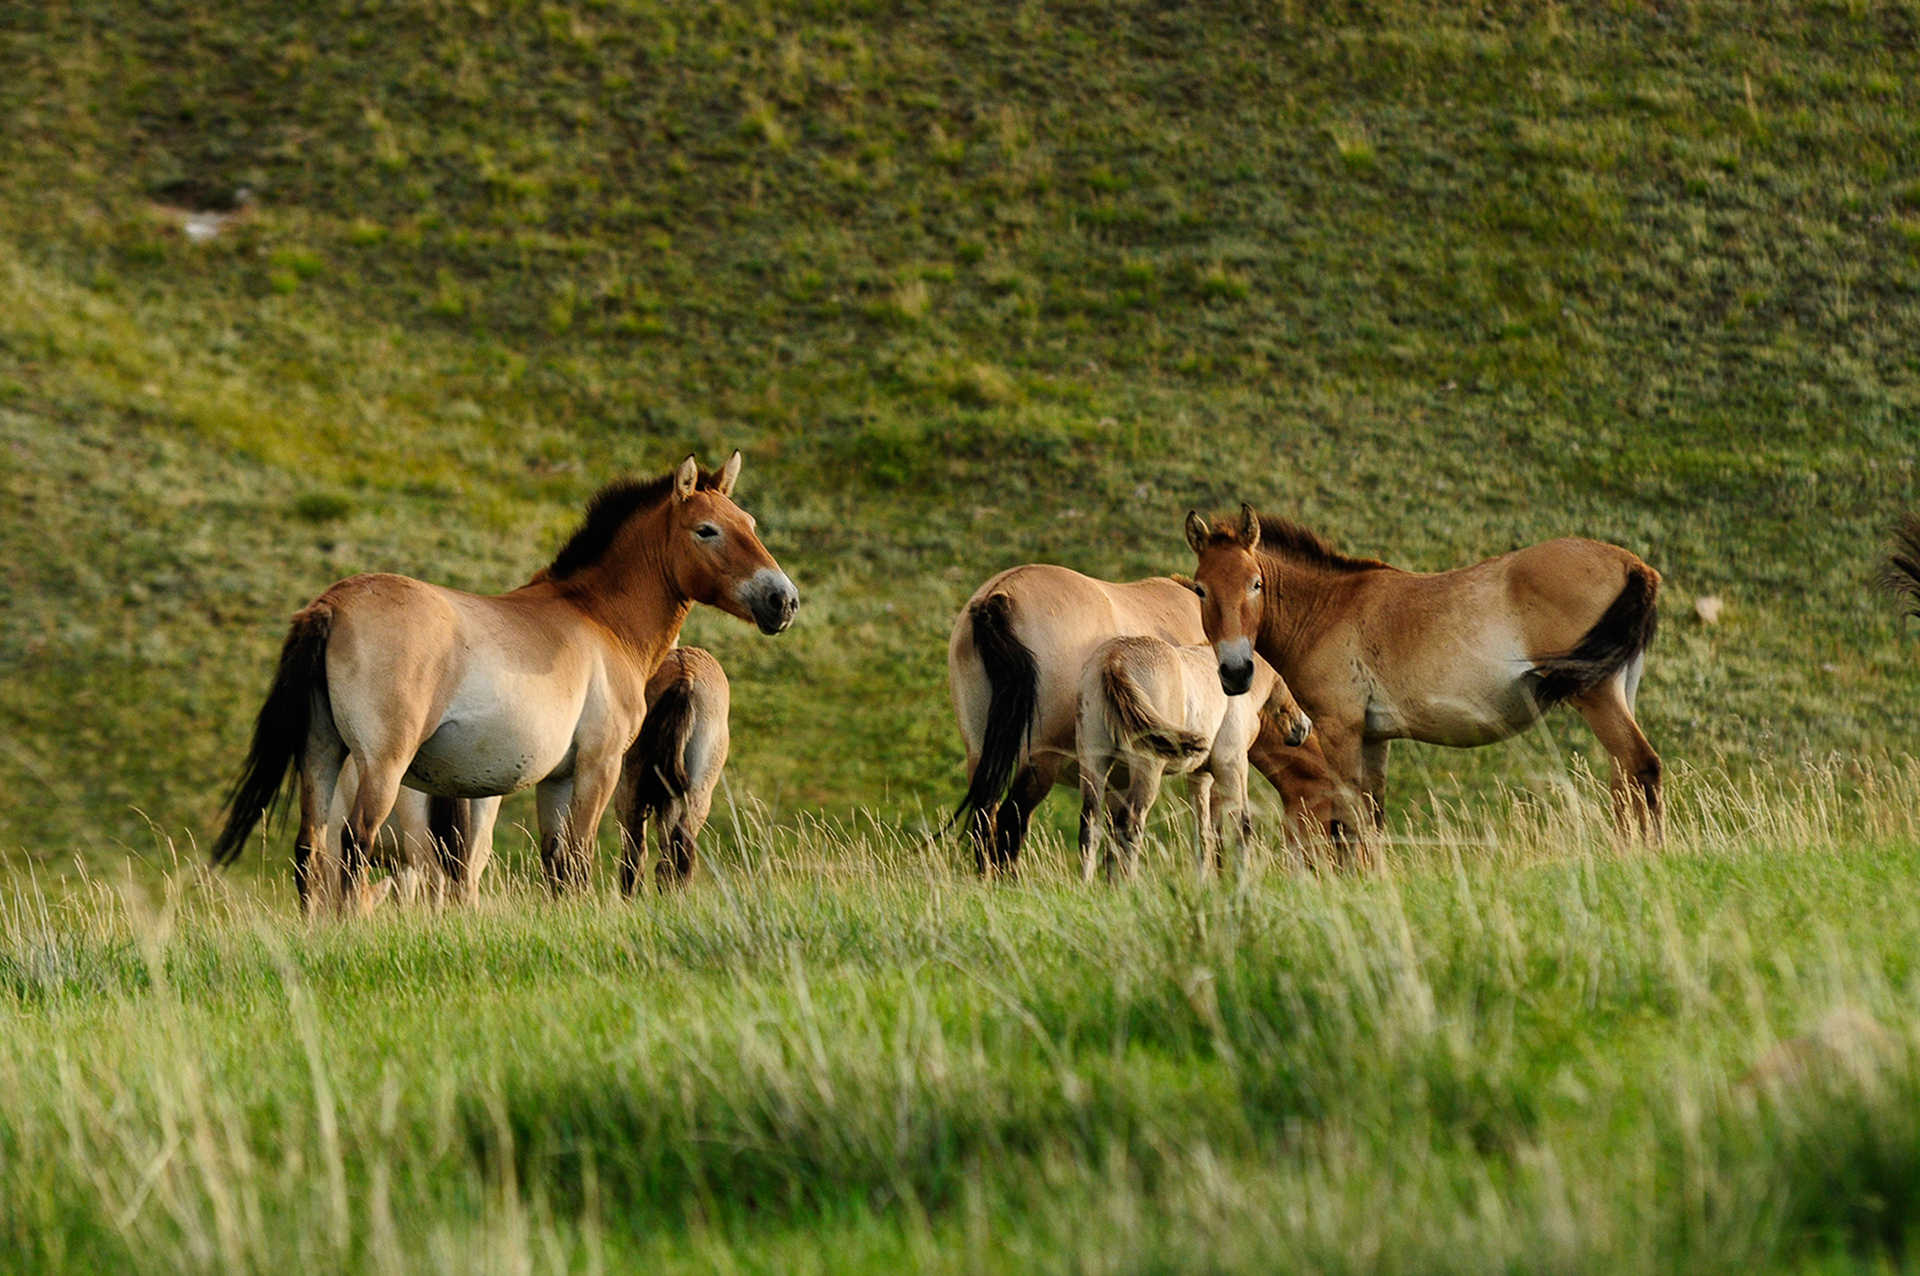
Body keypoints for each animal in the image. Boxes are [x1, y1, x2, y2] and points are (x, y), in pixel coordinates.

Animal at [1075, 633, 1313, 882]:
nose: (1303, 727)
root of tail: (1114, 659)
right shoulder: (1232, 764)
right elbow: (1242, 825)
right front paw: (1242, 881)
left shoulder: (1200, 776)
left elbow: (1203, 834)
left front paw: (1205, 883)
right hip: (1148, 767)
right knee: (1130, 824)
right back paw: (1128, 886)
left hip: (1094, 761)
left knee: (1090, 825)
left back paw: (1088, 885)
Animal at [1175, 502, 1658, 840]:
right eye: (1200, 590)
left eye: (1255, 583)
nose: (1236, 671)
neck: (1327, 609)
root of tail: (1632, 563)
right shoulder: (1374, 737)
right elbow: (1371, 817)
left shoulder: (1340, 729)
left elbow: (1346, 819)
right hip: (1619, 691)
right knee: (1625, 780)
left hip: (1596, 695)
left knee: (1641, 766)